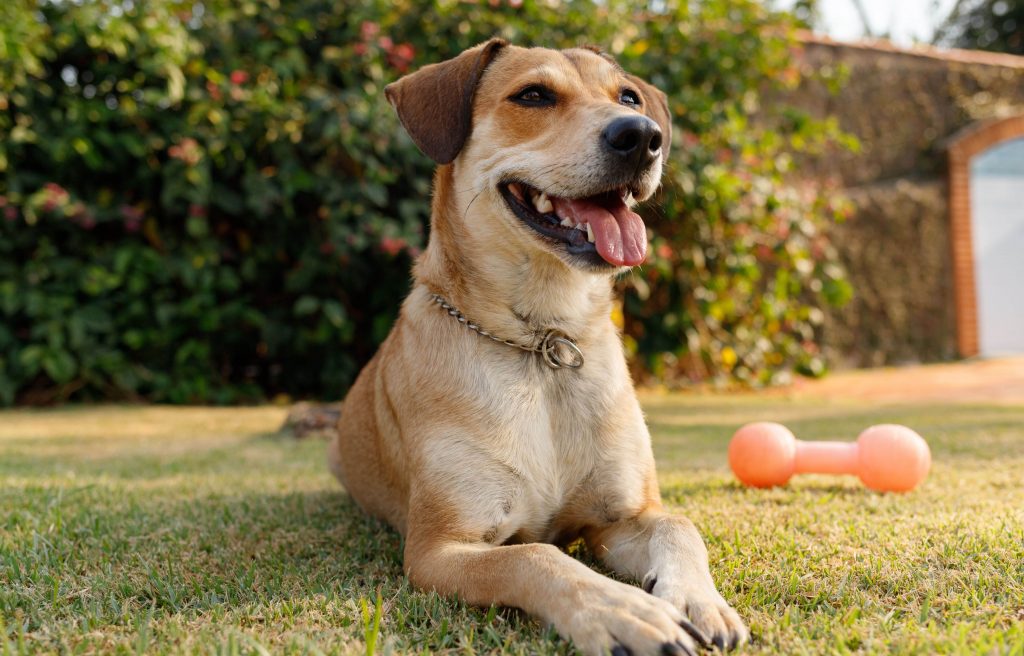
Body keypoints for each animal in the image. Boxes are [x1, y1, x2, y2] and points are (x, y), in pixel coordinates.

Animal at [331, 40, 749, 654]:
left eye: (628, 97)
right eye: (533, 95)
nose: (642, 136)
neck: (545, 342)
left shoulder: (620, 518)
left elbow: (679, 524)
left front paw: (698, 599)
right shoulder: (439, 550)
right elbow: (535, 554)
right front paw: (619, 610)